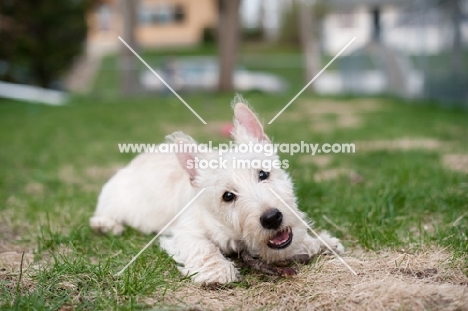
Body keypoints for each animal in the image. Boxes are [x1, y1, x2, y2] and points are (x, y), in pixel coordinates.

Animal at [89, 97, 344, 286]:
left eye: (263, 174)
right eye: (228, 196)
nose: (272, 218)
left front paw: (319, 242)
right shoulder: (185, 232)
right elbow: (204, 247)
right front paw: (218, 271)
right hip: (114, 200)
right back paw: (106, 225)